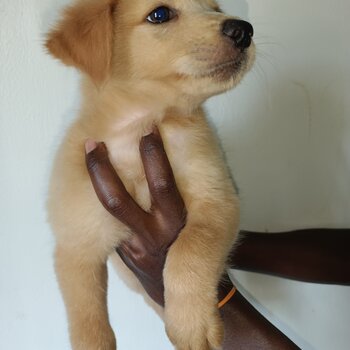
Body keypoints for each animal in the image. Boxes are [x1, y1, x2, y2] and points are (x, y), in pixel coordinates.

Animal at [45, 0, 254, 350]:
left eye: (215, 8)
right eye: (159, 14)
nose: (243, 30)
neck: (137, 129)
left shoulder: (218, 199)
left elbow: (189, 251)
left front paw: (191, 325)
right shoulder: (77, 244)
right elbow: (87, 319)